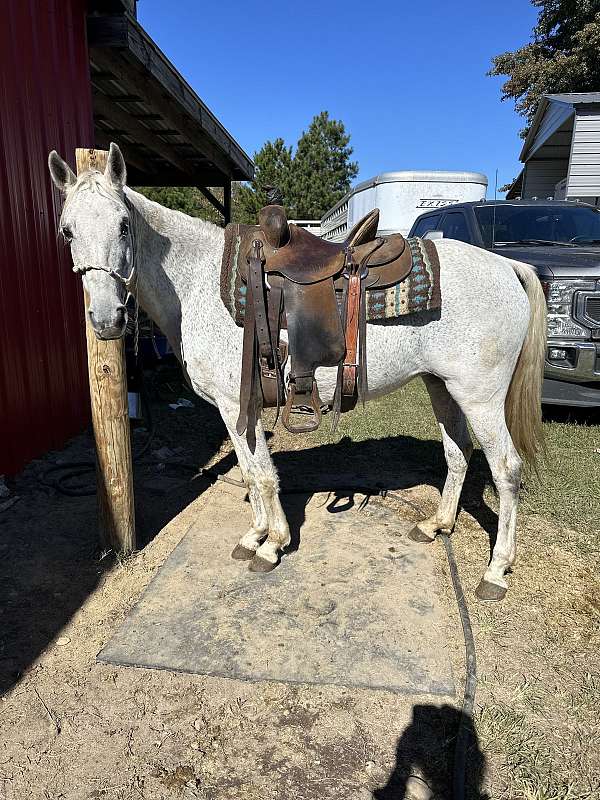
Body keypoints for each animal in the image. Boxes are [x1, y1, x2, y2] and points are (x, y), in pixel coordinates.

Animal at [45, 144, 544, 600]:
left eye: (123, 225)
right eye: (67, 231)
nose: (106, 320)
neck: (197, 283)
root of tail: (507, 266)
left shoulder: (235, 403)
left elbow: (262, 475)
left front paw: (273, 545)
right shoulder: (237, 408)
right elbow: (250, 473)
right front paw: (254, 537)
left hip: (480, 396)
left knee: (506, 468)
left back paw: (495, 571)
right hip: (442, 386)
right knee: (459, 452)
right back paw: (436, 525)